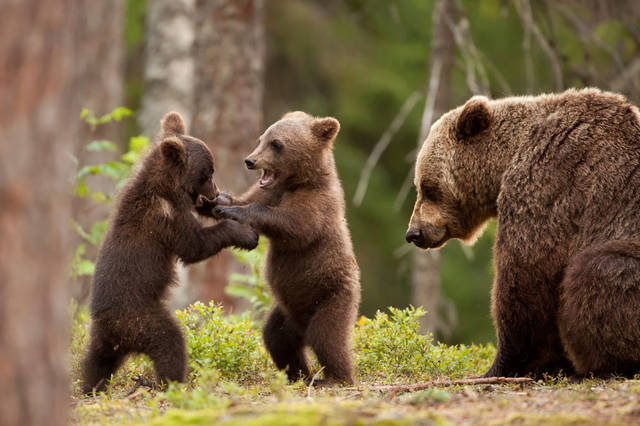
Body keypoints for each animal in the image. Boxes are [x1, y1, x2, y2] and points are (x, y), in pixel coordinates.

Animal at [82, 112, 258, 392]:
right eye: (208, 171)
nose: (215, 192)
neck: (166, 188)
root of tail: (114, 330)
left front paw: (224, 205)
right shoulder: (165, 219)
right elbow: (194, 245)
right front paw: (245, 234)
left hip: (104, 339)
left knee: (95, 362)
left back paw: (91, 387)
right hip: (142, 319)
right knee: (170, 343)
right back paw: (168, 383)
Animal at [216, 110, 360, 386]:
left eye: (277, 144)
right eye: (261, 138)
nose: (250, 160)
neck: (297, 181)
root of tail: (302, 325)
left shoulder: (317, 204)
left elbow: (295, 226)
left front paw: (237, 211)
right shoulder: (271, 191)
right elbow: (248, 198)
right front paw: (219, 200)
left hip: (332, 296)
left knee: (327, 337)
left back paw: (336, 378)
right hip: (287, 312)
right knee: (277, 339)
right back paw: (300, 375)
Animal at [408, 88, 640, 378]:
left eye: (428, 187)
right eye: (420, 185)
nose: (413, 232)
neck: (505, 163)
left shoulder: (548, 184)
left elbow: (525, 273)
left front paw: (502, 365)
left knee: (596, 271)